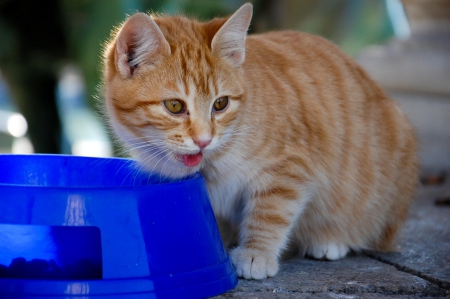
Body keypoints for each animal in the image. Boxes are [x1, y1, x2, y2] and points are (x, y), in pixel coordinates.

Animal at [103, 3, 418, 280]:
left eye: (220, 103)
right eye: (175, 106)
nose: (204, 140)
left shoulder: (289, 167)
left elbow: (271, 212)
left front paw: (256, 254)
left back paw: (331, 239)